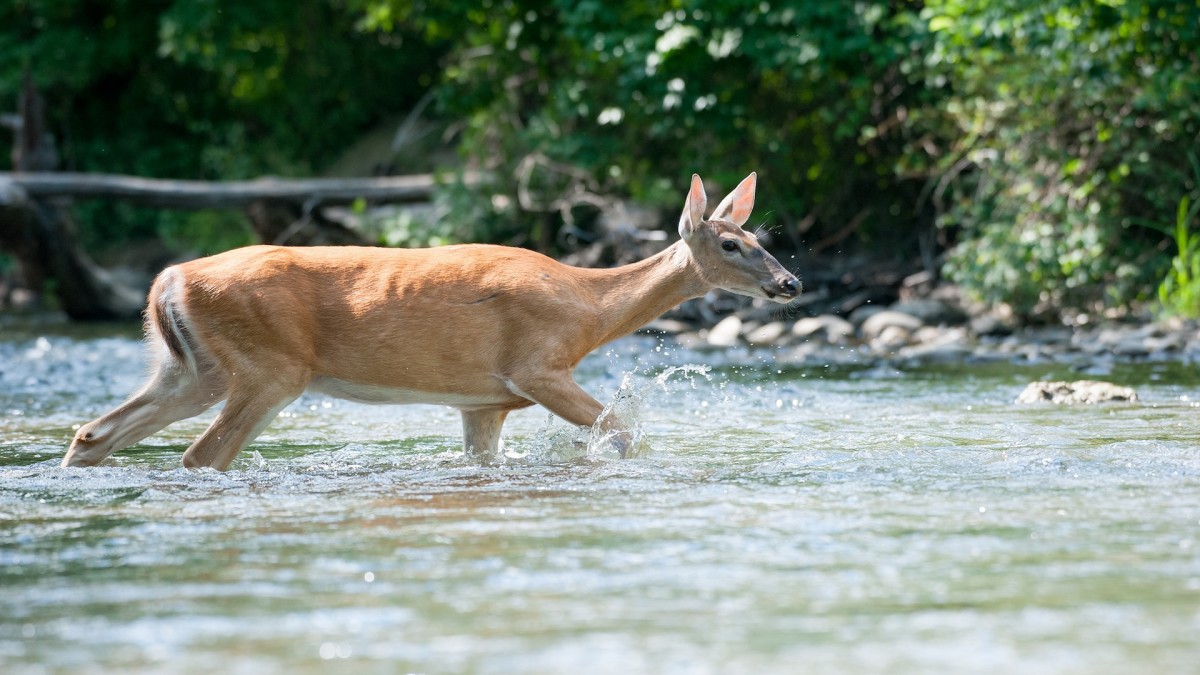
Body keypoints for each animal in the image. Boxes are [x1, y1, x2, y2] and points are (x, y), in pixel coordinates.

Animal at [60, 172, 801, 468]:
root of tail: (166, 280)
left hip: (194, 367)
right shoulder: (536, 366)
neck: (590, 308)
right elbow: (622, 432)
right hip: (269, 367)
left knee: (95, 432)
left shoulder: (484, 400)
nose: (790, 282)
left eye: (760, 234)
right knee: (200, 455)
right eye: (729, 243)